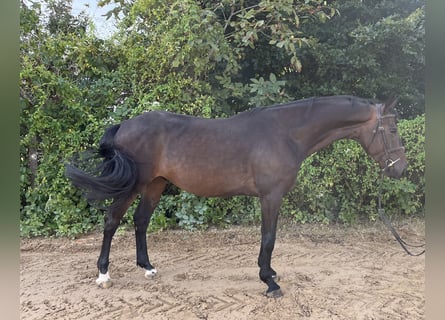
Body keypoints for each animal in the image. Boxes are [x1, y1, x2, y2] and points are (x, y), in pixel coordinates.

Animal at [65, 95, 406, 298]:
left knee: (140, 221)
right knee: (112, 220)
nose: (401, 169)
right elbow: (268, 238)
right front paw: (270, 281)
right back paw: (104, 275)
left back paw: (147, 267)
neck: (286, 133)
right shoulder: (271, 196)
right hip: (136, 184)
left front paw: (270, 274)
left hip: (156, 184)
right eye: (391, 130)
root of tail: (125, 125)